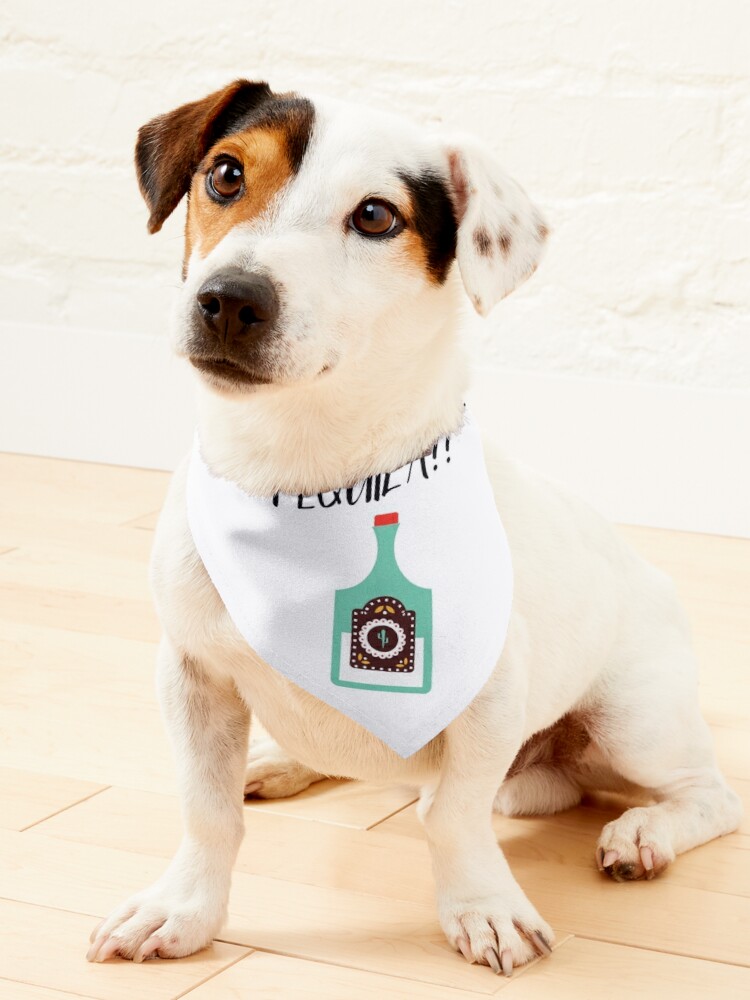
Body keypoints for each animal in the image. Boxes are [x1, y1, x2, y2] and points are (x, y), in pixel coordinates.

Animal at [85, 82, 744, 972]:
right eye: (225, 174)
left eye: (375, 216)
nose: (229, 299)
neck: (304, 474)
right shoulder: (192, 676)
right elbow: (207, 810)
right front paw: (183, 908)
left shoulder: (488, 698)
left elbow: (453, 816)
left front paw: (483, 908)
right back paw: (282, 761)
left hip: (634, 719)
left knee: (708, 796)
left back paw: (644, 833)